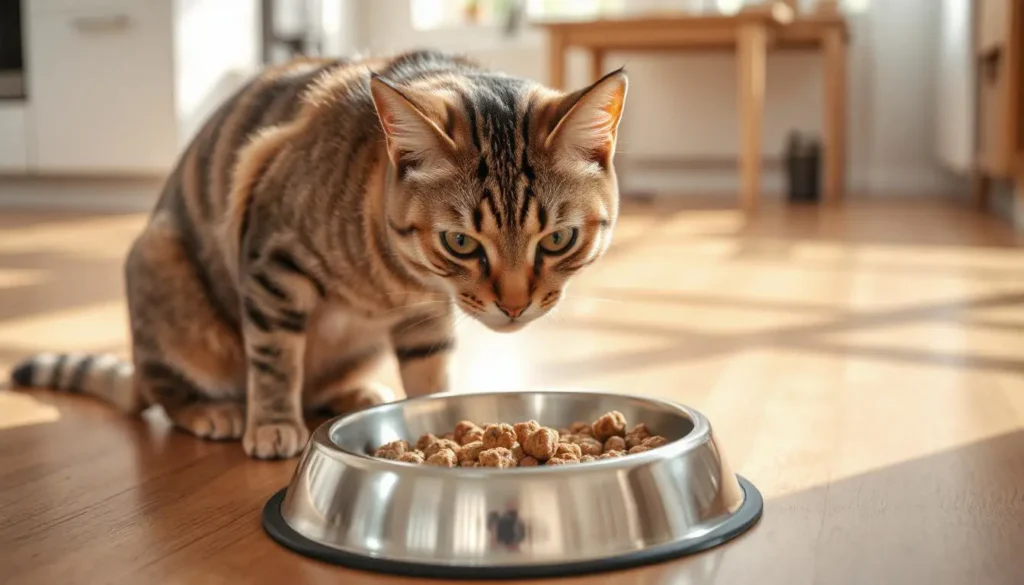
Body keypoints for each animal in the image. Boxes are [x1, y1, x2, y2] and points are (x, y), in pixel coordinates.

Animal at [8, 51, 626, 456]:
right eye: (461, 243)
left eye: (558, 239)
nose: (514, 307)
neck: (399, 276)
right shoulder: (272, 262)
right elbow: (275, 357)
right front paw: (271, 423)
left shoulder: (425, 317)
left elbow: (430, 372)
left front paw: (442, 421)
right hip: (161, 267)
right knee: (168, 390)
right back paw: (214, 411)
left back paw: (353, 392)